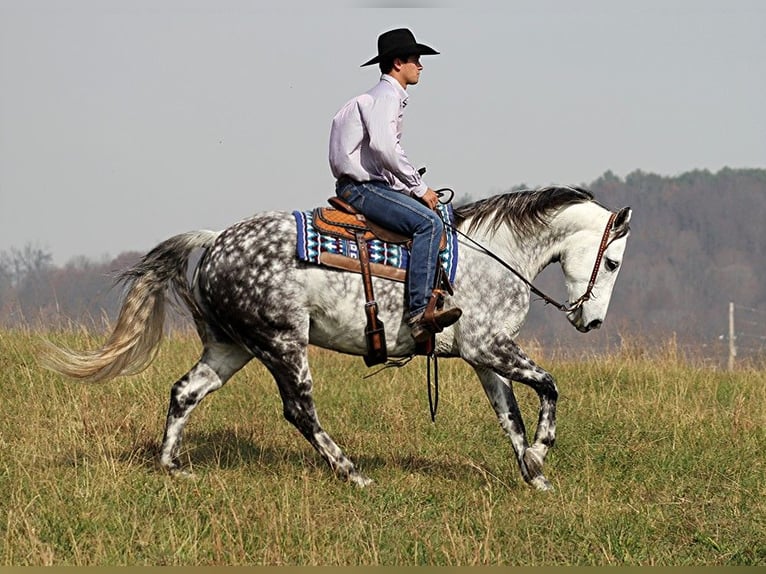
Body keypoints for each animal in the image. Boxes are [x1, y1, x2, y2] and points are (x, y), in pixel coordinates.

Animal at [45, 187, 636, 492]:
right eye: (611, 262)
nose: (592, 322)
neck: (495, 253)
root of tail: (212, 242)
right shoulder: (489, 348)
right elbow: (550, 387)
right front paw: (541, 452)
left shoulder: (484, 357)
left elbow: (509, 416)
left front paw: (534, 475)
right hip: (284, 343)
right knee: (299, 410)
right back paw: (351, 473)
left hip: (231, 347)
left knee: (185, 391)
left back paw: (172, 466)